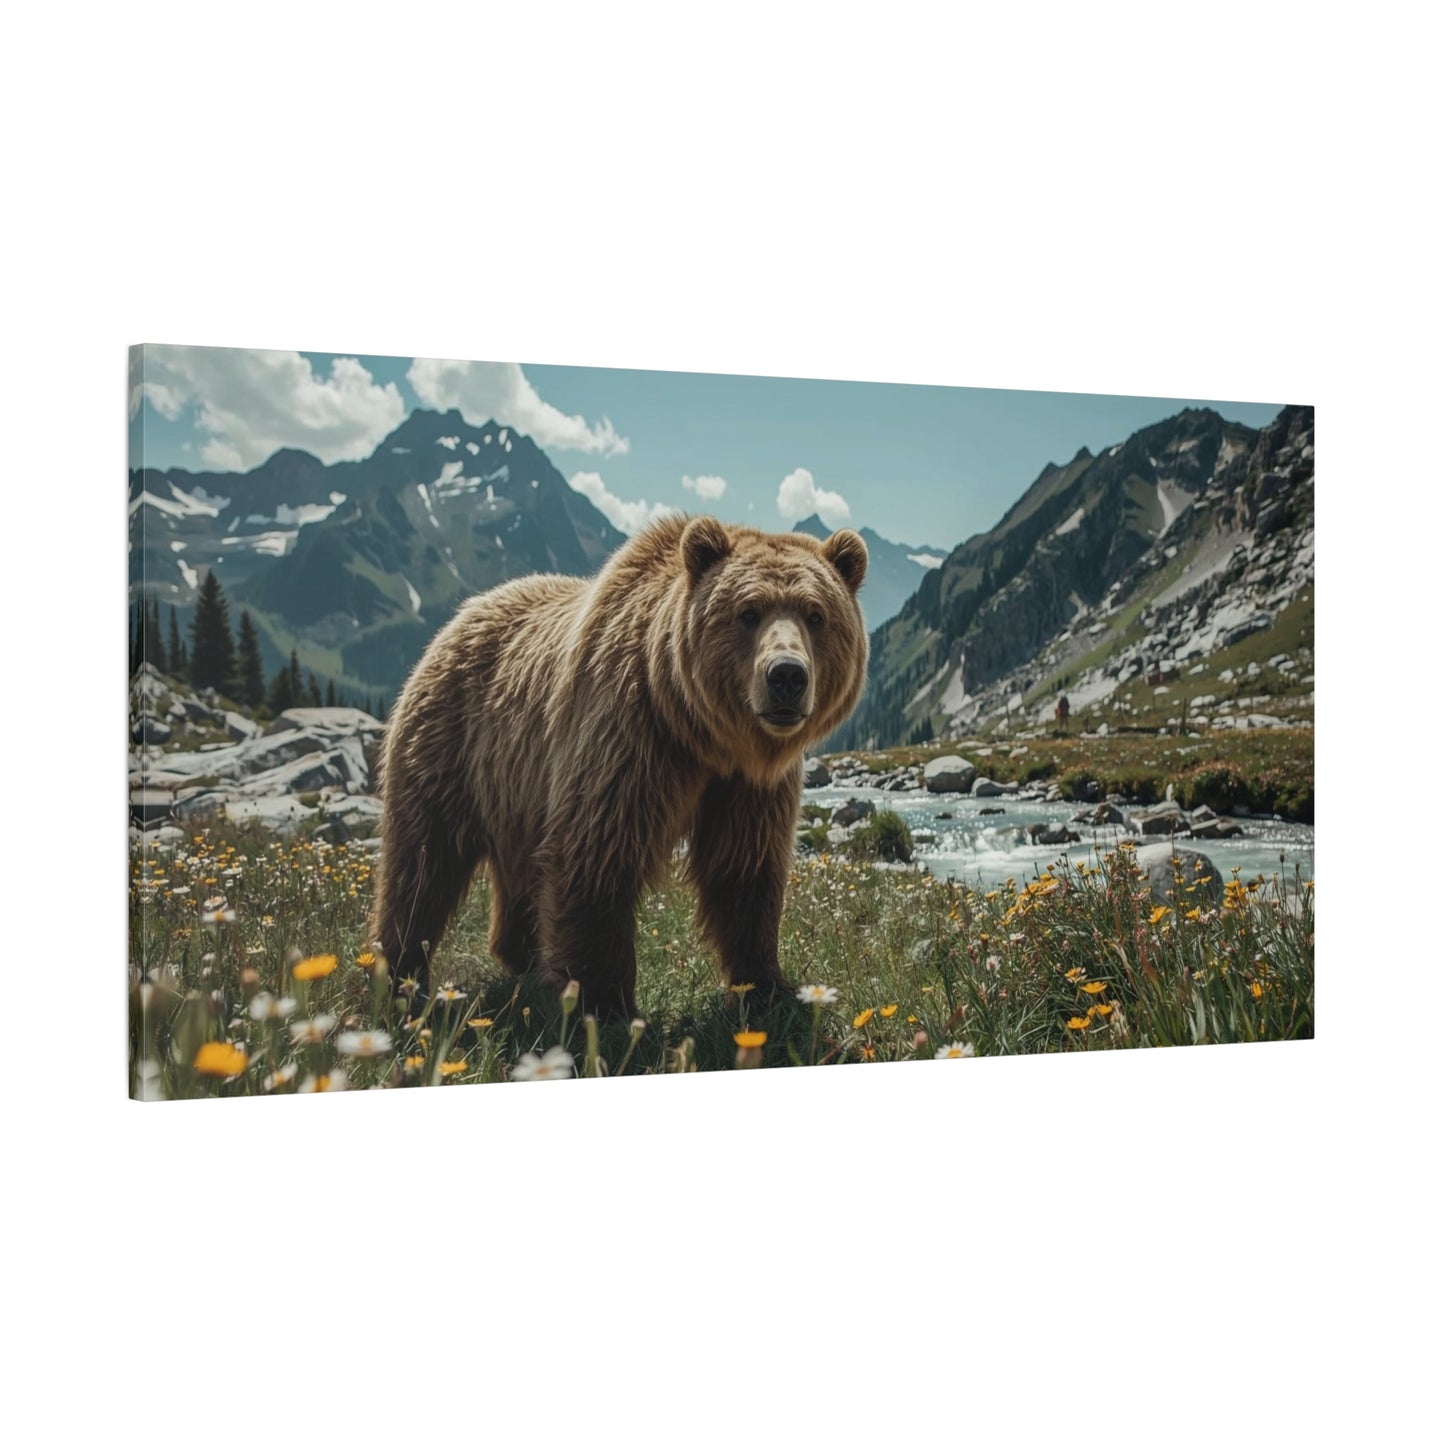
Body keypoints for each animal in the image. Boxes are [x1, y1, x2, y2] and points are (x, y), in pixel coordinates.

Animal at [369, 513, 869, 1021]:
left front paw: (769, 989)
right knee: (422, 863)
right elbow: (597, 854)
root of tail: (461, 616)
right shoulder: (629, 737)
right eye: (748, 612)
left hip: (516, 789)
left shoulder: (748, 786)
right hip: (450, 745)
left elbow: (745, 869)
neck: (704, 736)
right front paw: (604, 1005)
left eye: (816, 615)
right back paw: (400, 974)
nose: (786, 675)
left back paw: (522, 958)